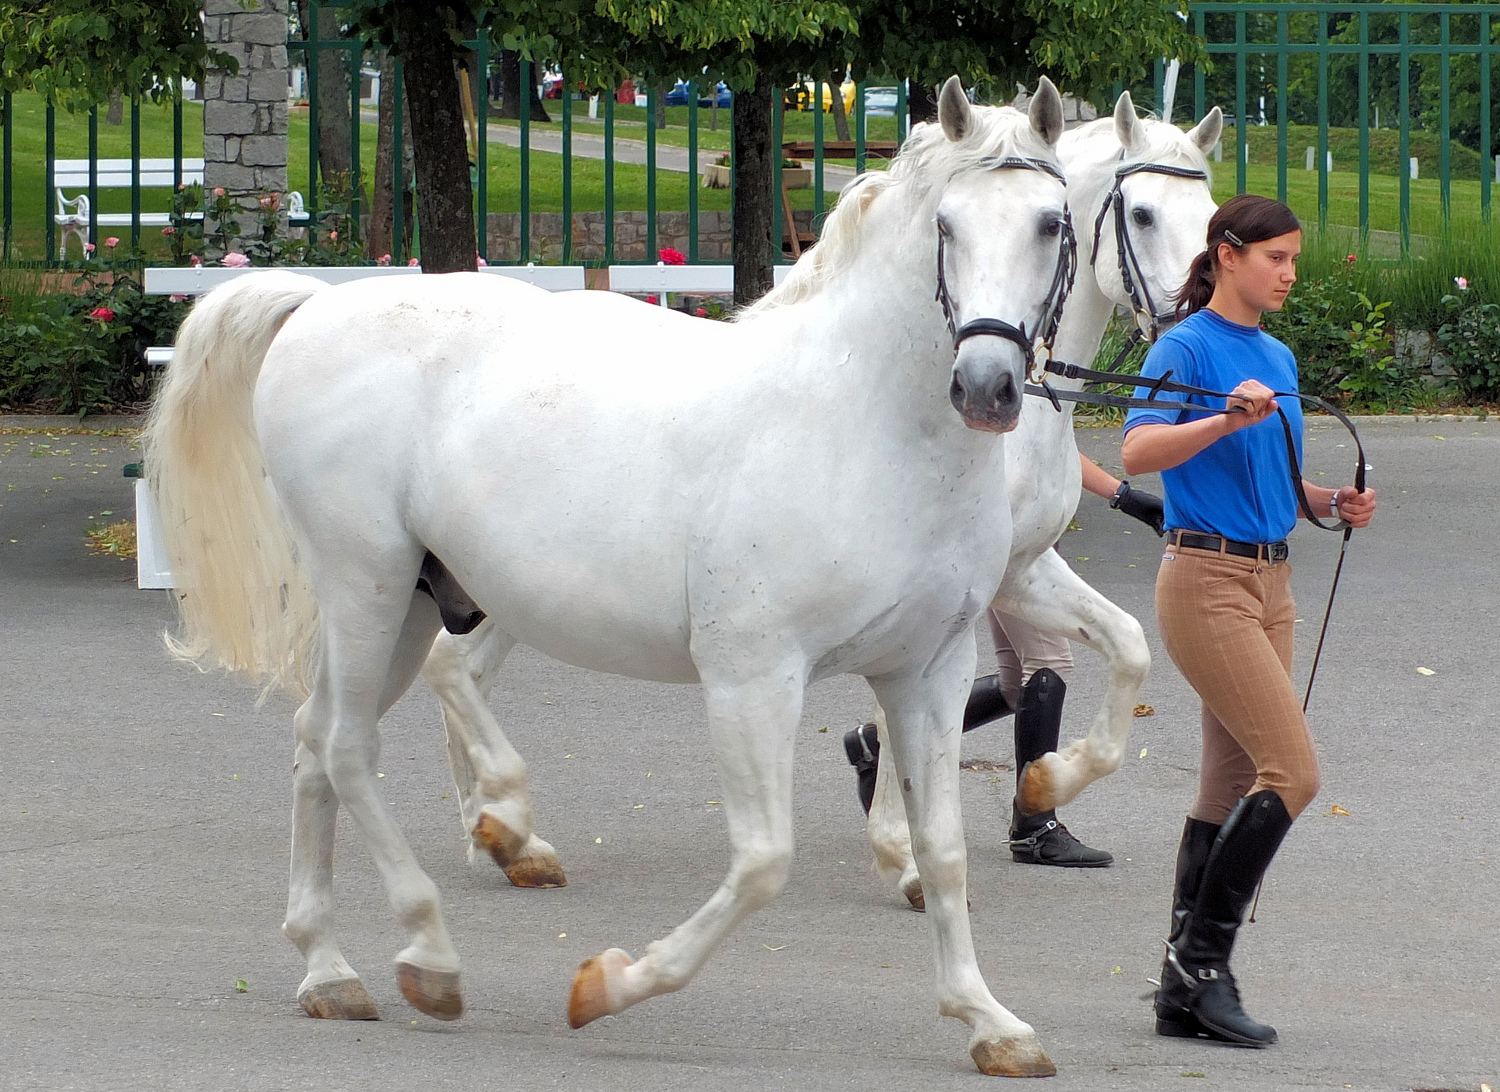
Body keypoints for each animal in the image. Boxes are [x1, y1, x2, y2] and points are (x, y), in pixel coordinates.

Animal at [146, 78, 1074, 1086]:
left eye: (1052, 223)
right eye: (946, 224)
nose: (986, 386)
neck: (858, 422)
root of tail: (318, 305)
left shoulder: (926, 675)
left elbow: (942, 855)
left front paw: (990, 1022)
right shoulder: (753, 680)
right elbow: (763, 863)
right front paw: (609, 985)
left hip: (407, 608)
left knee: (316, 742)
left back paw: (328, 970)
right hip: (367, 587)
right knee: (348, 748)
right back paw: (430, 956)